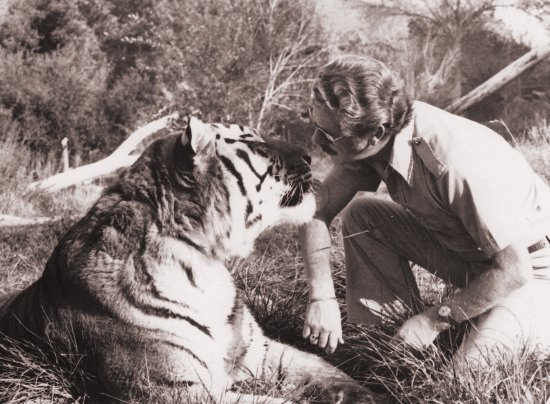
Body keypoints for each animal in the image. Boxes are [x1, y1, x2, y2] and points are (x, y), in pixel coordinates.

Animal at [0, 115, 376, 402]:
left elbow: (327, 371)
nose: (311, 156)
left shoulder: (262, 351)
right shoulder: (176, 390)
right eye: (257, 144)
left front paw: (369, 392)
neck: (205, 260)